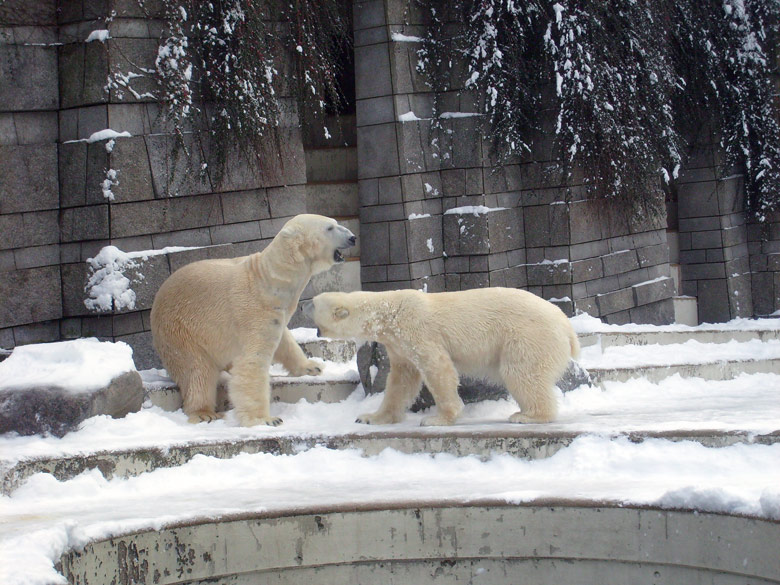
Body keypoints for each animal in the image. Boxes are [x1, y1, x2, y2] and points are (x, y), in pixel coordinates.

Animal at [150, 213, 356, 424]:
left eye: (335, 223)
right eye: (330, 227)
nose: (352, 237)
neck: (269, 280)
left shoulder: (276, 312)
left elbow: (285, 342)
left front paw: (312, 367)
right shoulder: (254, 309)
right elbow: (252, 362)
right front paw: (265, 419)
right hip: (179, 331)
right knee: (197, 371)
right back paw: (204, 412)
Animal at [306, 288, 580, 424]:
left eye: (314, 305)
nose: (303, 303)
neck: (388, 312)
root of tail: (567, 326)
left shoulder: (416, 329)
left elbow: (437, 368)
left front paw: (438, 419)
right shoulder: (397, 344)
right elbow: (401, 380)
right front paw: (371, 417)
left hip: (528, 335)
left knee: (521, 373)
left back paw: (528, 415)